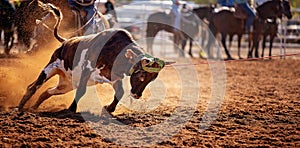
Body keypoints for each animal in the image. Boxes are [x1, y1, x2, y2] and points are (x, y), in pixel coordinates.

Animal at [18, 3, 169, 112]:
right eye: (141, 76)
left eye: (152, 79)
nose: (137, 95)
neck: (116, 52)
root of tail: (65, 42)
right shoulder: (87, 70)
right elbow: (81, 91)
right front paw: (71, 110)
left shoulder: (113, 77)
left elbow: (119, 92)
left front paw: (109, 108)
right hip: (51, 67)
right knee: (33, 87)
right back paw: (20, 107)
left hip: (65, 84)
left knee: (47, 91)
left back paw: (34, 108)